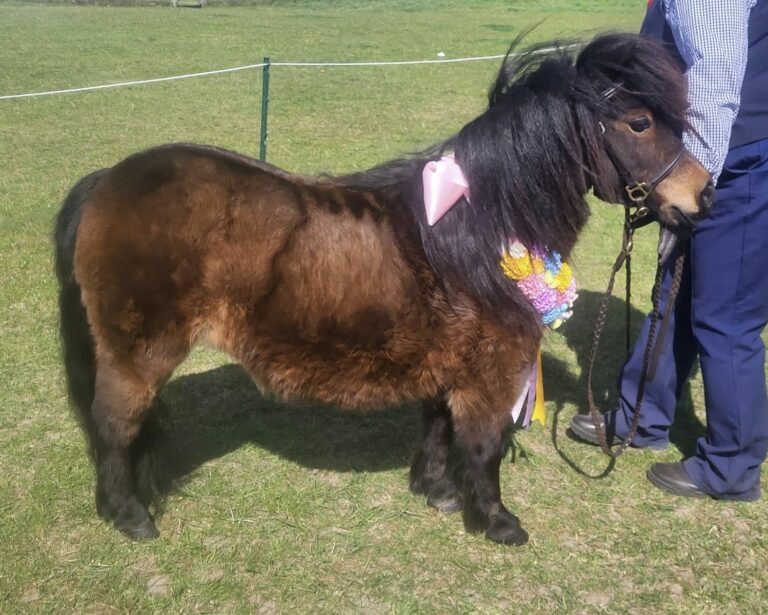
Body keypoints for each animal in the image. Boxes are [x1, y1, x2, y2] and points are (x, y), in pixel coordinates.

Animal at [54, 33, 712, 546]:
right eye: (639, 123)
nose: (702, 194)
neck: (474, 230)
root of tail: (107, 180)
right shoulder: (492, 366)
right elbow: (484, 444)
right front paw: (498, 522)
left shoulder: (452, 356)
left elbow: (439, 425)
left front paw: (436, 490)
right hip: (139, 352)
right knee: (114, 424)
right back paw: (130, 516)